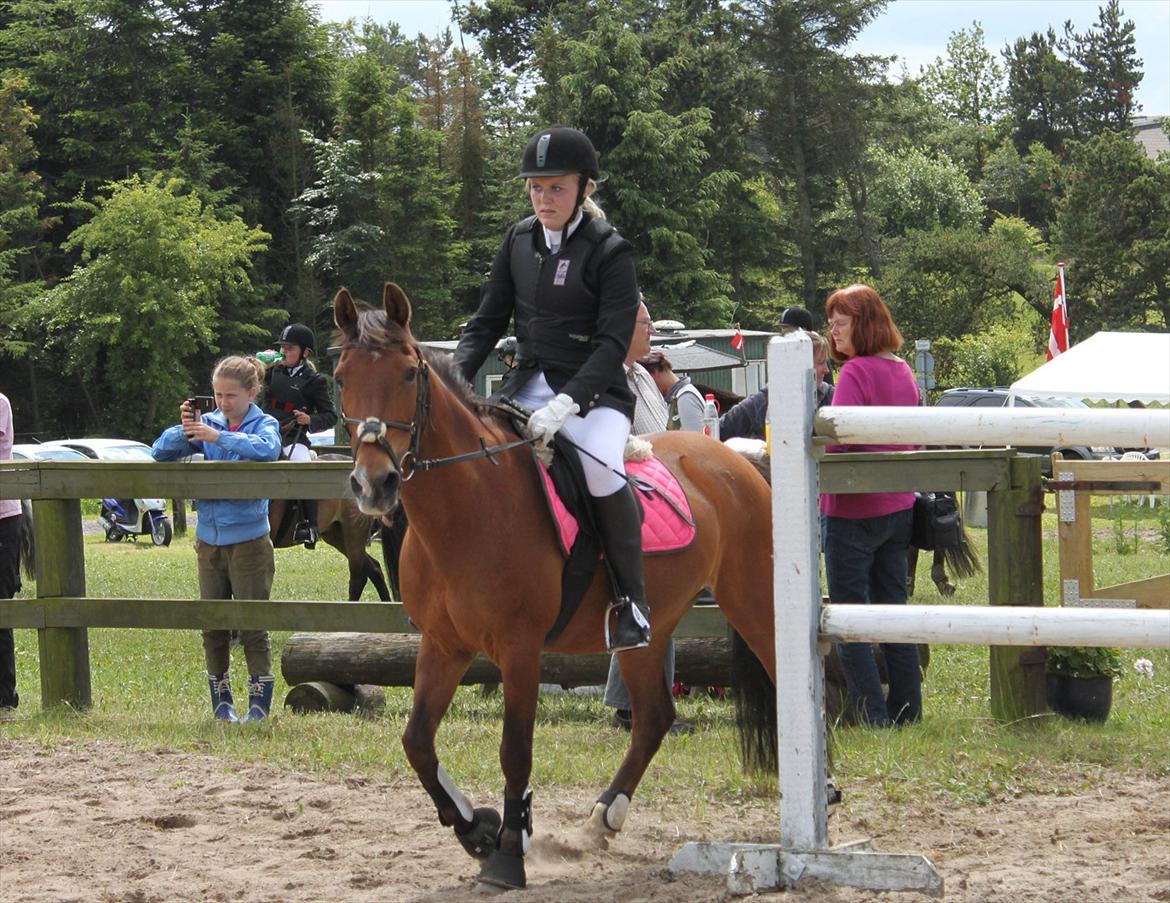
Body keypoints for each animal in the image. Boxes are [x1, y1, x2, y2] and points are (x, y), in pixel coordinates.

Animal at [334, 285, 781, 893]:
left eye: (407, 374)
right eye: (340, 377)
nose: (373, 484)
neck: (467, 510)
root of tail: (733, 457)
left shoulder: (520, 651)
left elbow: (515, 751)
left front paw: (507, 854)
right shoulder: (445, 646)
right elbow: (417, 742)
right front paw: (478, 830)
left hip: (753, 600)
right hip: (651, 626)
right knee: (653, 718)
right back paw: (601, 820)